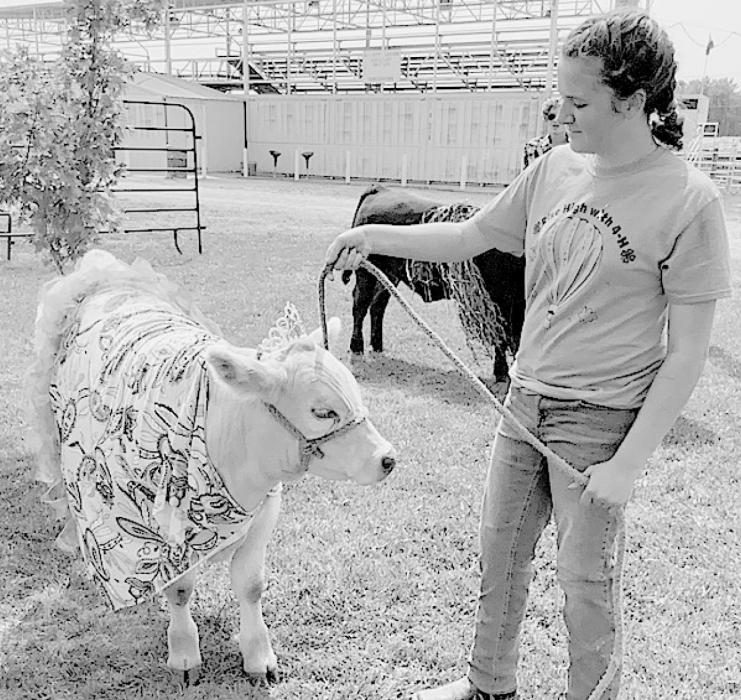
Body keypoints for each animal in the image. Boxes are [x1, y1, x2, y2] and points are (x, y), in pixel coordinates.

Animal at [26, 249, 396, 685]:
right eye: (323, 412)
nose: (387, 458)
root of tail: (108, 278)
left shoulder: (266, 512)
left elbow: (251, 586)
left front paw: (259, 658)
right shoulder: (163, 531)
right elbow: (179, 590)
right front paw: (185, 655)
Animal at [342, 184, 525, 383]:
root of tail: (381, 189)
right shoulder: (501, 301)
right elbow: (503, 336)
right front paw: (502, 373)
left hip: (388, 277)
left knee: (378, 306)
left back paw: (377, 346)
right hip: (365, 274)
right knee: (360, 306)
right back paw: (357, 347)